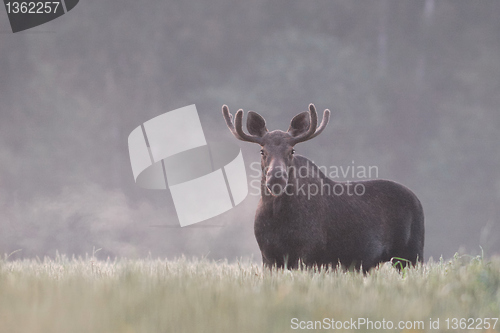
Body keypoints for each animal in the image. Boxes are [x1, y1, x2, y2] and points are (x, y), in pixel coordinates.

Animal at [223, 103, 422, 270]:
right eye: (262, 151)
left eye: (292, 151)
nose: (276, 179)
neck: (278, 217)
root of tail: (417, 200)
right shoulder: (268, 256)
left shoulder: (309, 252)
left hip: (411, 254)